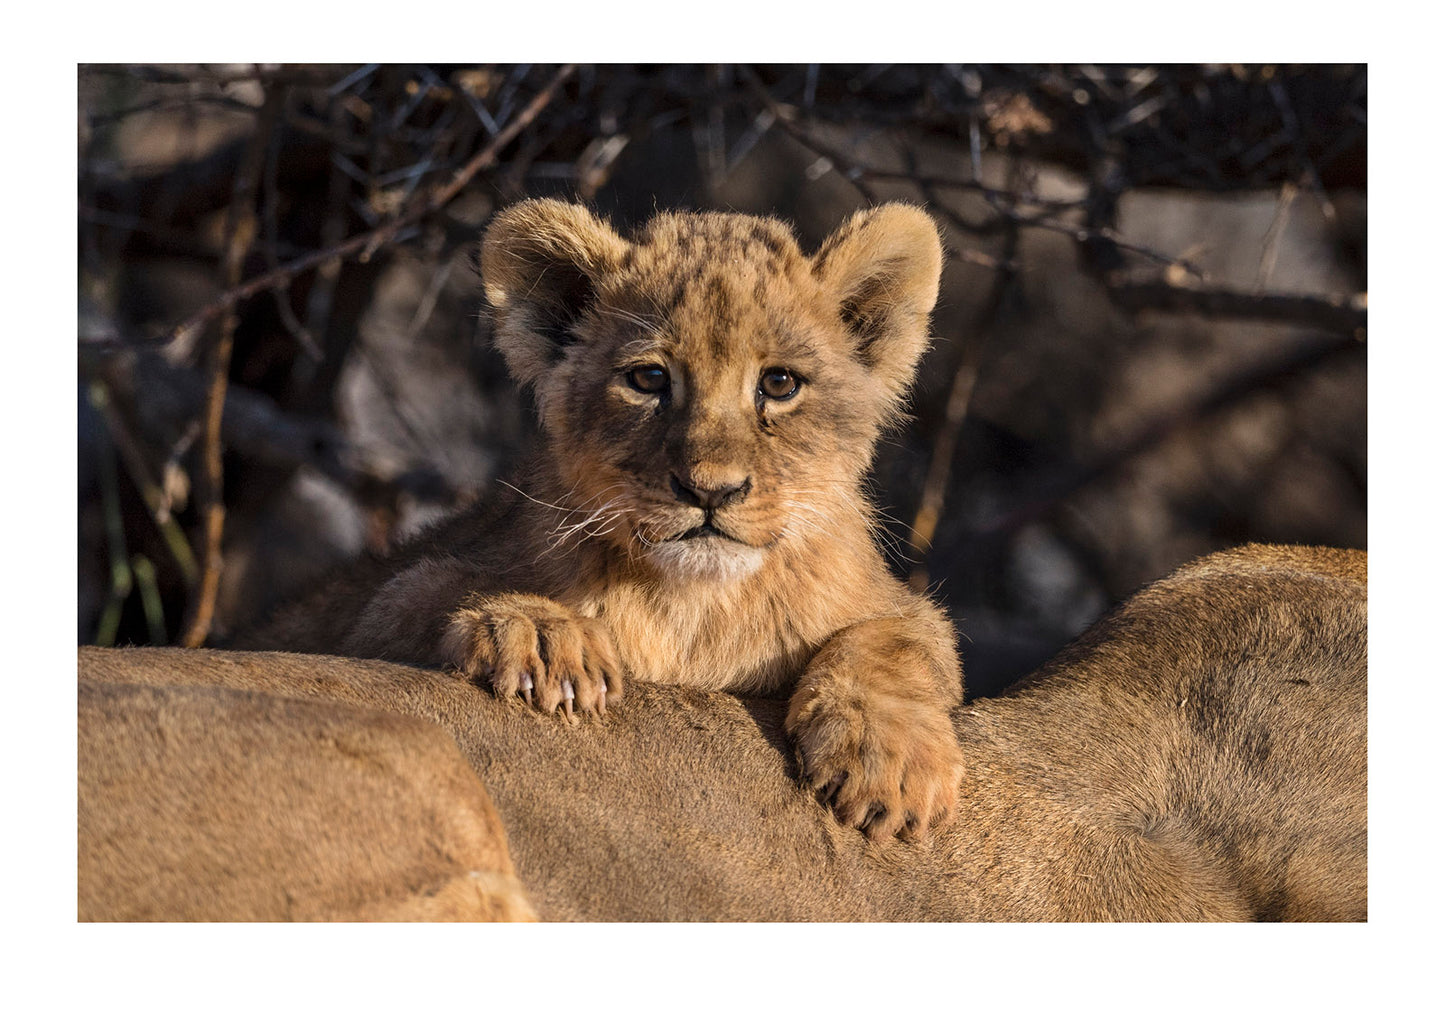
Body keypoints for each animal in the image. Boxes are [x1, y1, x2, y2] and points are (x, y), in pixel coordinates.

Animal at [242, 199, 965, 840]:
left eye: (779, 384)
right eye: (648, 379)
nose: (710, 489)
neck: (695, 610)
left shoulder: (894, 605)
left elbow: (896, 638)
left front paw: (888, 761)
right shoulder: (374, 613)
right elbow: (433, 589)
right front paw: (541, 636)